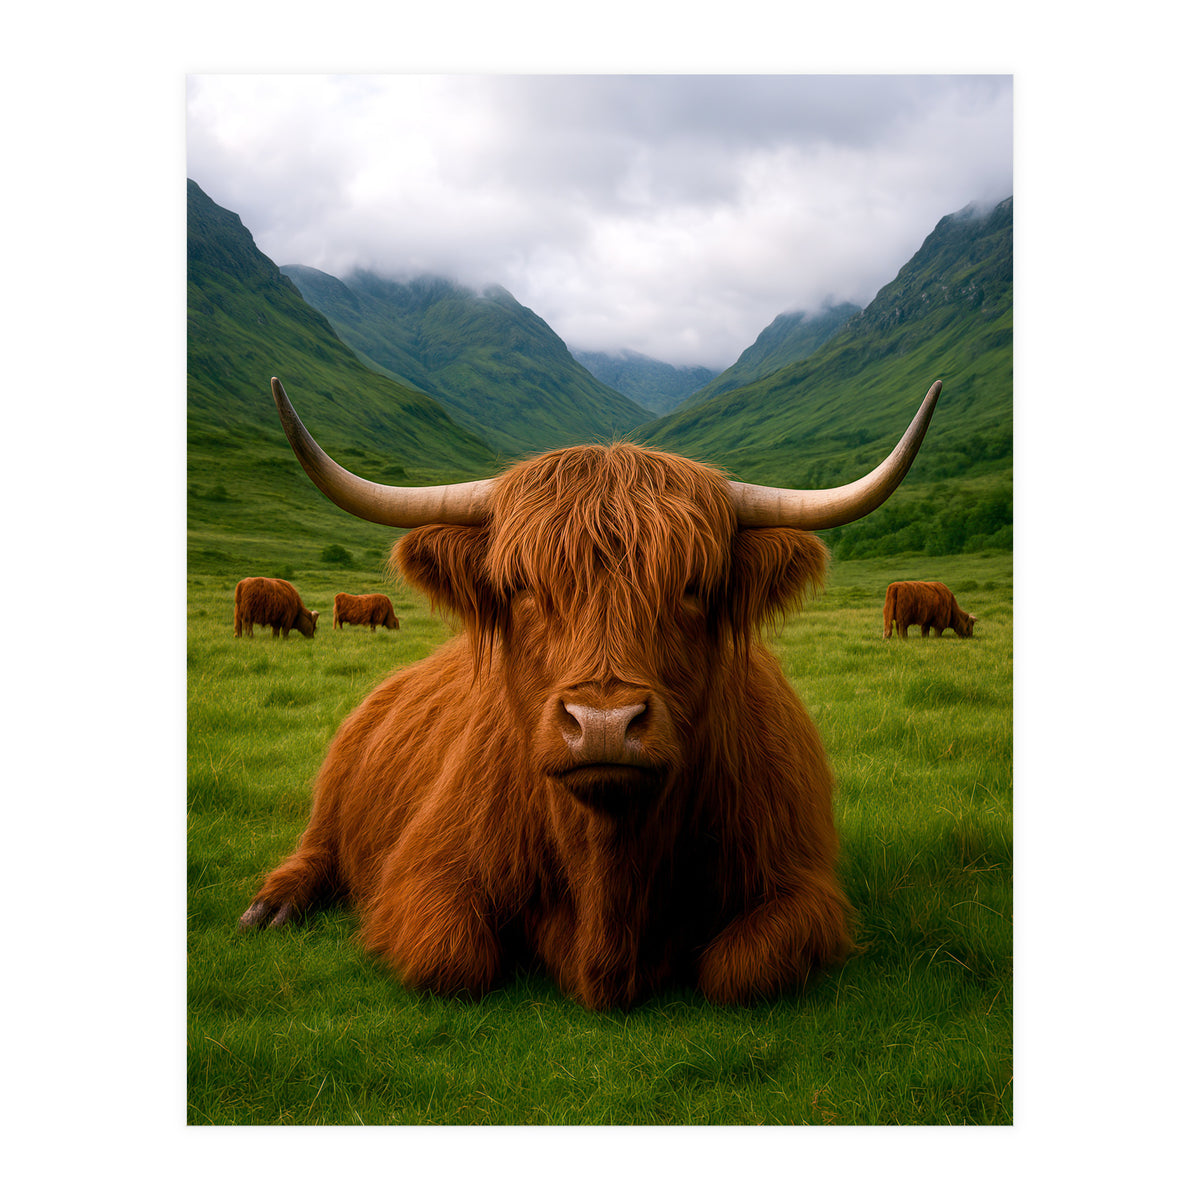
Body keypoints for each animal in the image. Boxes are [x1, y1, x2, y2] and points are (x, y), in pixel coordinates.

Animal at [240, 377, 942, 1009]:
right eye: (522, 585)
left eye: (693, 586)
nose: (603, 724)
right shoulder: (424, 872)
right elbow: (453, 958)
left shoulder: (800, 886)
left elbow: (740, 971)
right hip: (334, 794)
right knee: (317, 849)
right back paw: (271, 907)